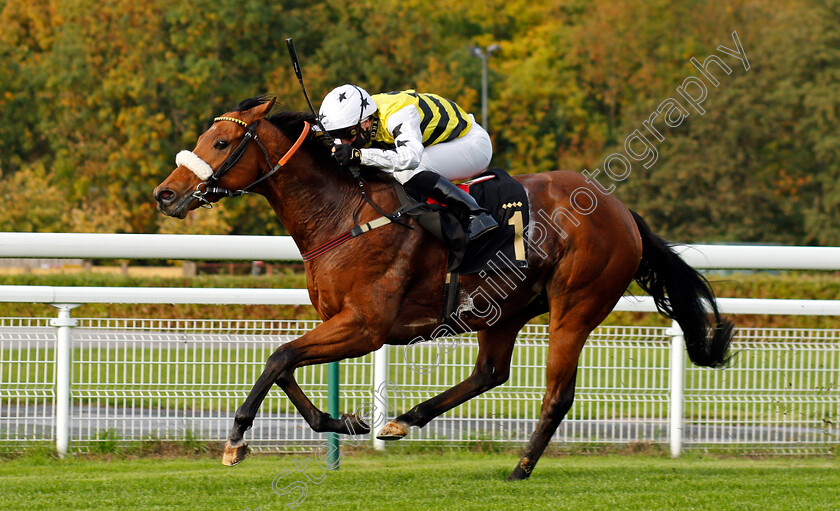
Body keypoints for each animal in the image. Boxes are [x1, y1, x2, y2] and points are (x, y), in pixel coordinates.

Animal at [154, 96, 732, 480]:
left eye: (221, 142)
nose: (165, 194)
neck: (341, 214)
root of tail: (622, 212)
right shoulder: (337, 321)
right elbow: (285, 363)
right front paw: (341, 420)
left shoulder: (365, 327)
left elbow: (278, 358)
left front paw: (235, 441)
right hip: (504, 308)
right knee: (490, 373)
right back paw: (404, 421)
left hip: (576, 306)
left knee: (557, 393)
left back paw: (521, 466)